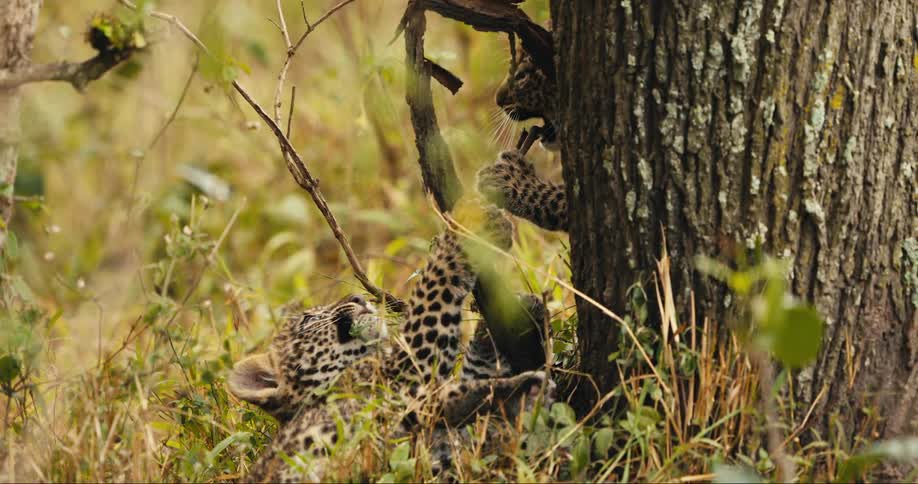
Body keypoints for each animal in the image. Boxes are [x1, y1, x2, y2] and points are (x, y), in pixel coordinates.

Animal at [228, 201, 553, 482]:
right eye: (307, 320)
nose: (357, 298)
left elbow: (472, 377)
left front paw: (518, 313)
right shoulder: (407, 368)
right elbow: (433, 289)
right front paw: (468, 223)